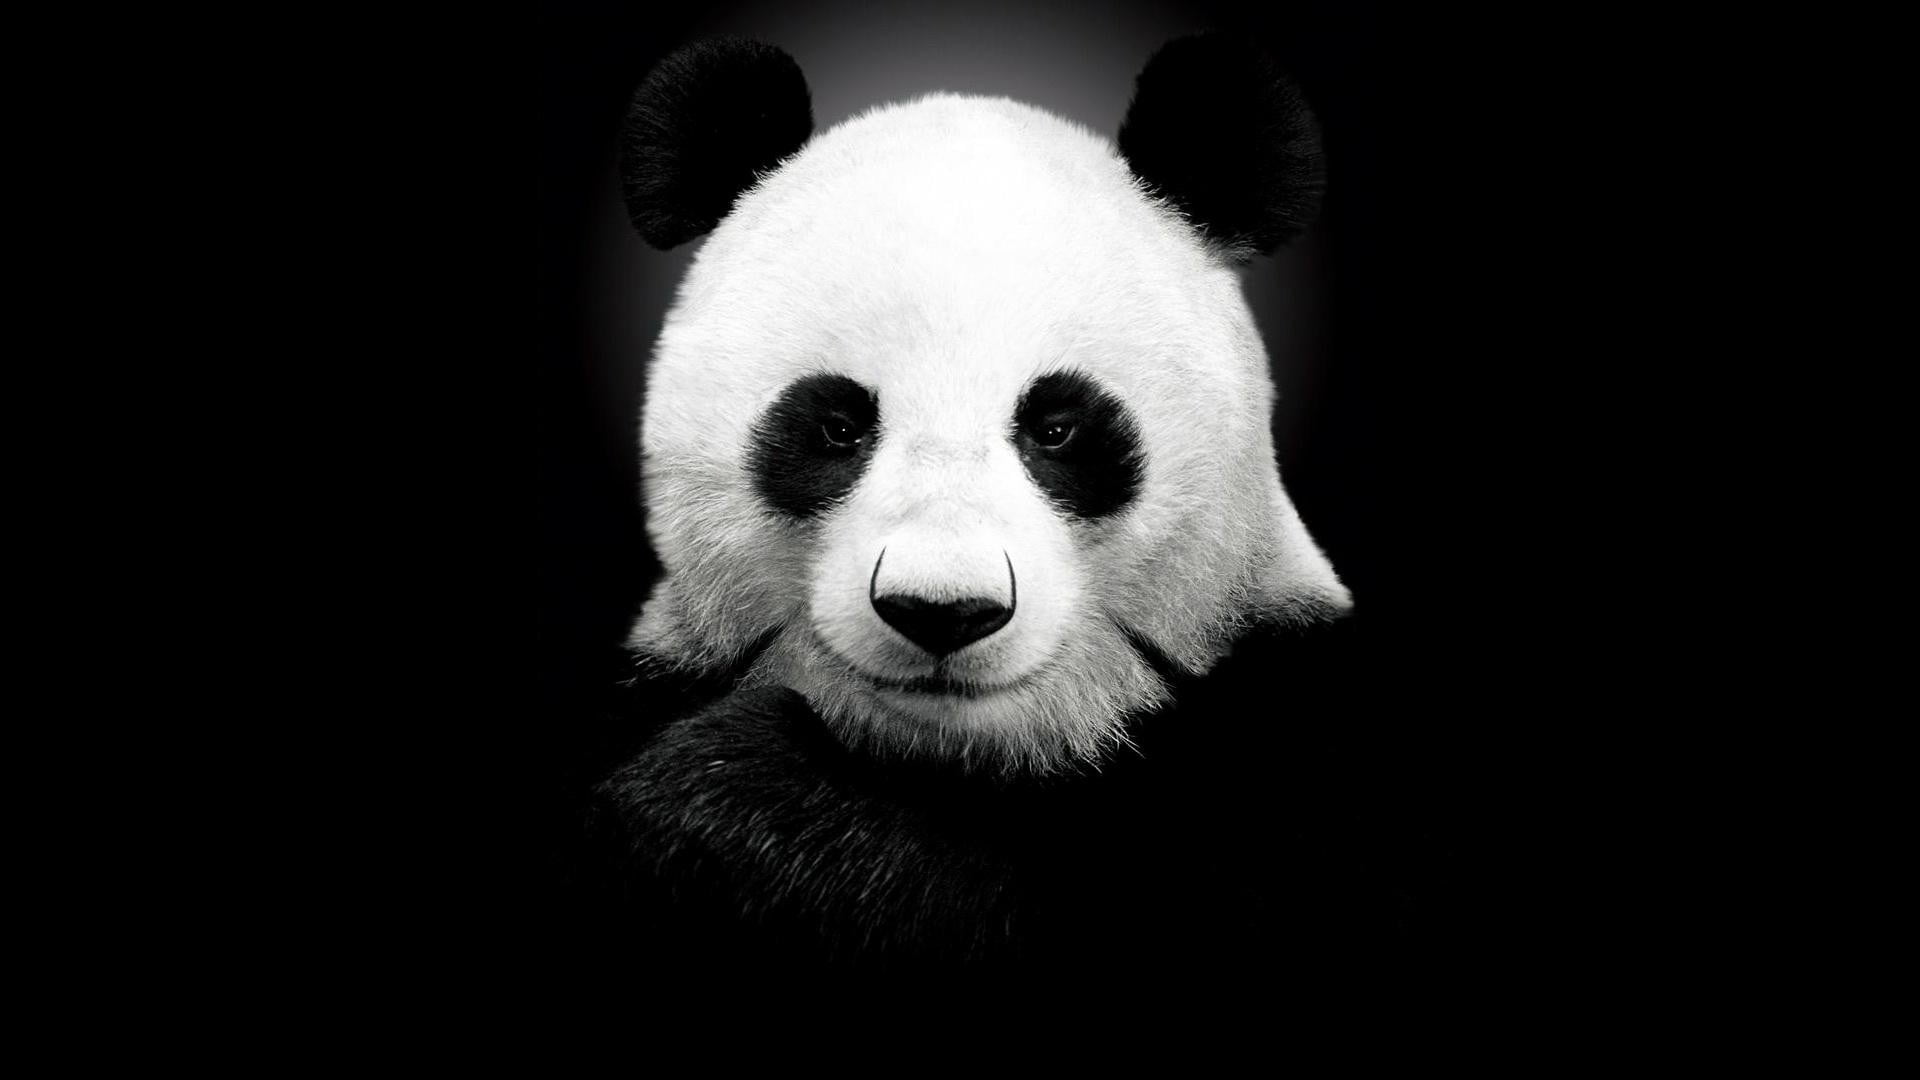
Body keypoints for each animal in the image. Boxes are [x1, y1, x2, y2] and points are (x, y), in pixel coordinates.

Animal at [581, 34, 1409, 978]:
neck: (963, 757)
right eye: (836, 427)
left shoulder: (1297, 741)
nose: (943, 611)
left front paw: (730, 800)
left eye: (1057, 428)